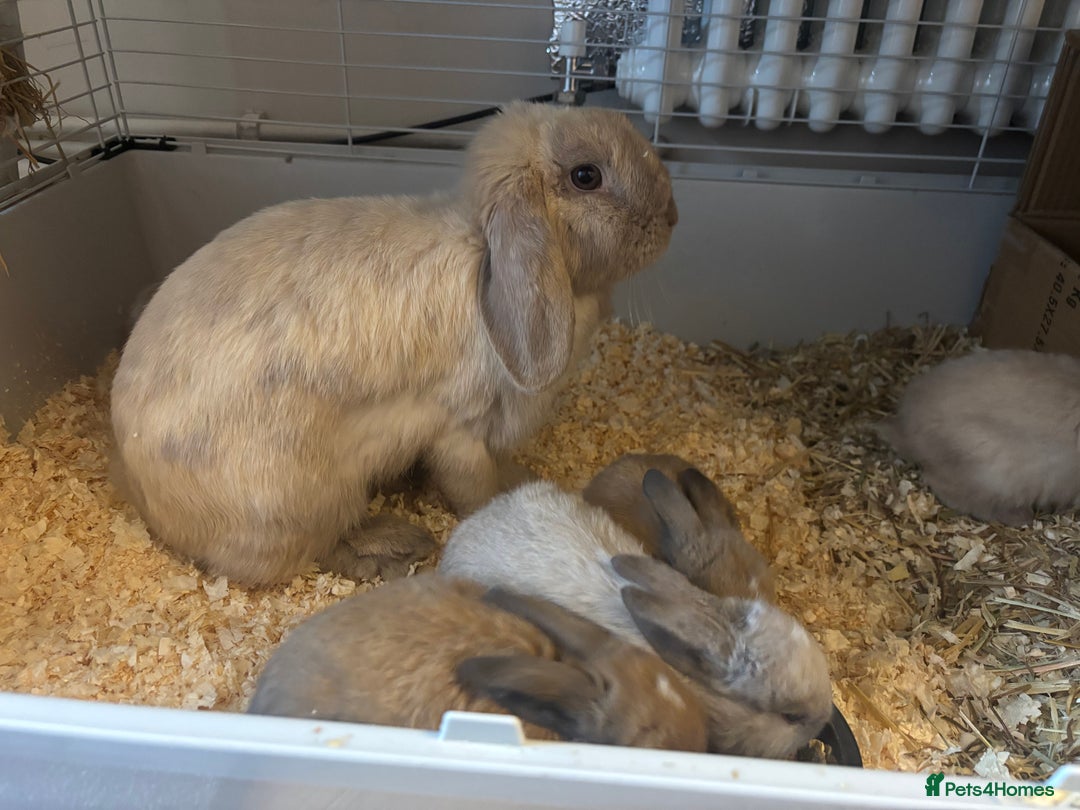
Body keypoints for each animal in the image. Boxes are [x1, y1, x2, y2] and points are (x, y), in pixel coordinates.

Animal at [109, 101, 679, 585]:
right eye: (587, 176)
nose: (671, 218)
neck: (485, 254)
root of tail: (146, 501)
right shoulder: (459, 430)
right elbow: (472, 485)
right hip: (302, 501)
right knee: (310, 555)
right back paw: (394, 545)